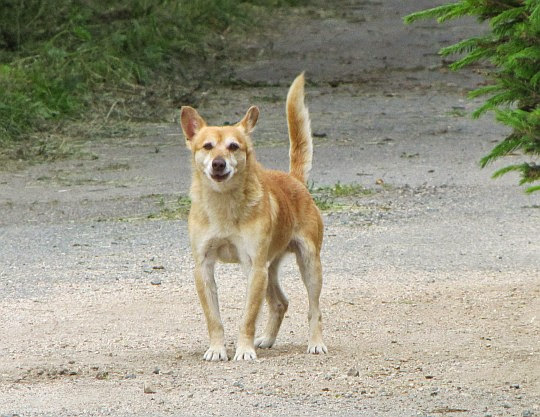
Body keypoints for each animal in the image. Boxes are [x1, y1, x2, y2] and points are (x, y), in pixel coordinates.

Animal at [179, 73, 326, 360]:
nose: (219, 163)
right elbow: (213, 318)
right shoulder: (203, 267)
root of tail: (294, 179)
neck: (224, 204)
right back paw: (267, 339)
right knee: (280, 303)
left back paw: (315, 343)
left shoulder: (253, 267)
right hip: (270, 268)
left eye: (234, 146)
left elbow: (248, 316)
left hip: (308, 264)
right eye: (207, 146)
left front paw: (244, 350)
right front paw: (217, 349)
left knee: (313, 309)